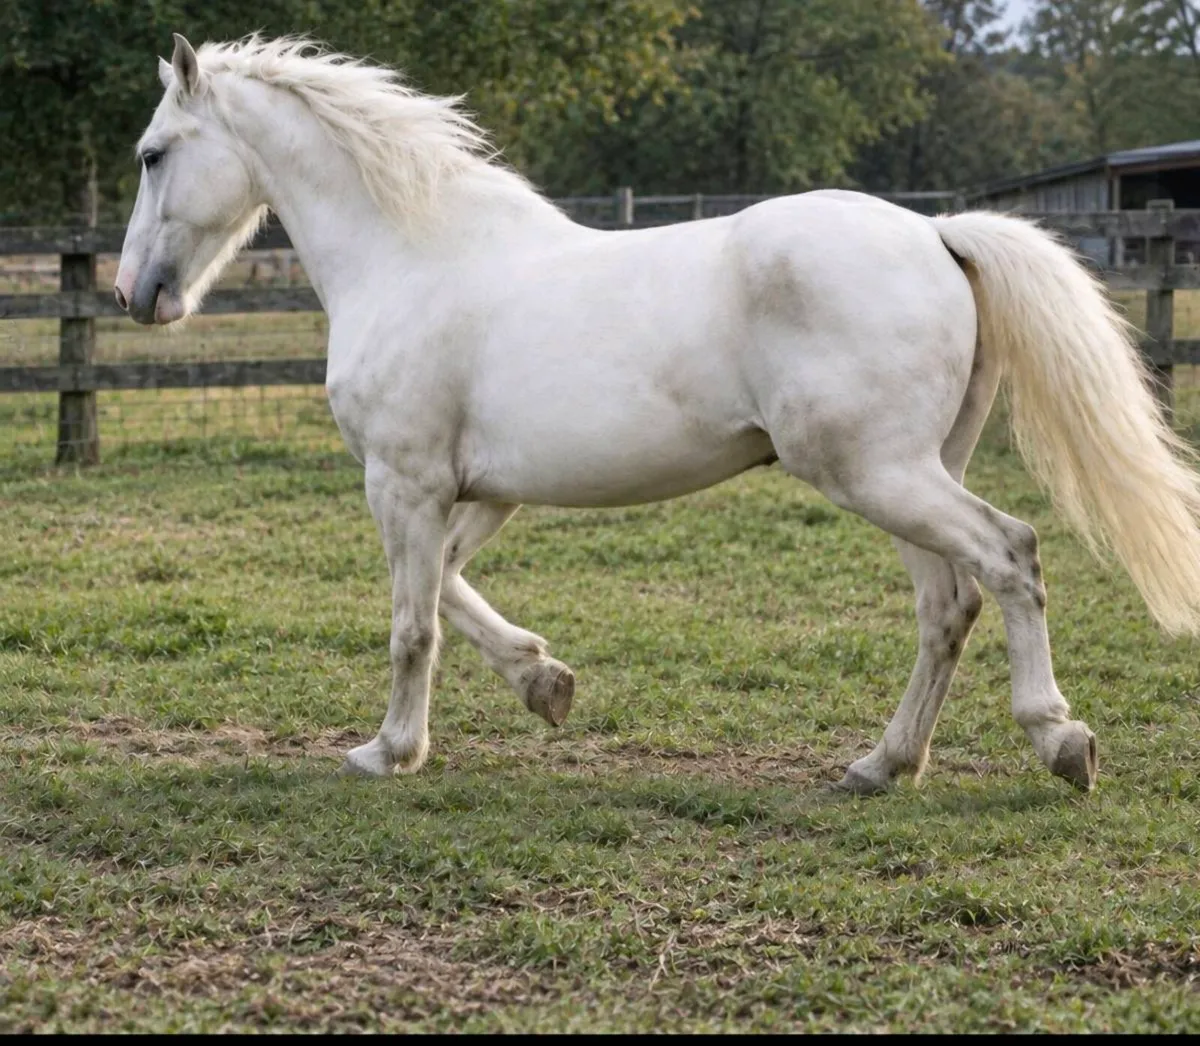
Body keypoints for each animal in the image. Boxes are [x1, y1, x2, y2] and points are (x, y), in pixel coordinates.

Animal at [115, 33, 1200, 794]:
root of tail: (938, 232)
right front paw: (544, 682)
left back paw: (1060, 740)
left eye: (154, 153)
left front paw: (390, 750)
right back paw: (883, 764)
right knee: (950, 604)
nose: (136, 295)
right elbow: (451, 591)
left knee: (1011, 556)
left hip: (878, 473)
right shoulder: (480, 492)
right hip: (912, 474)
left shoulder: (405, 482)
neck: (412, 256)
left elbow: (411, 620)